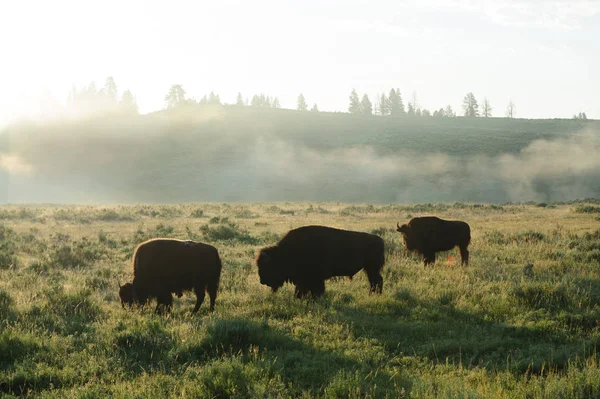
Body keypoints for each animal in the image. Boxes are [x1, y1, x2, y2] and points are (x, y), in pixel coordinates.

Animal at [253, 227, 384, 298]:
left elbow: (314, 290)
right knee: (375, 281)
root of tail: (380, 240)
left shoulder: (312, 278)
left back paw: (374, 295)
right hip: (370, 269)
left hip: (372, 268)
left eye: (267, 266)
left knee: (376, 281)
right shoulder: (305, 279)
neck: (284, 253)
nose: (262, 281)